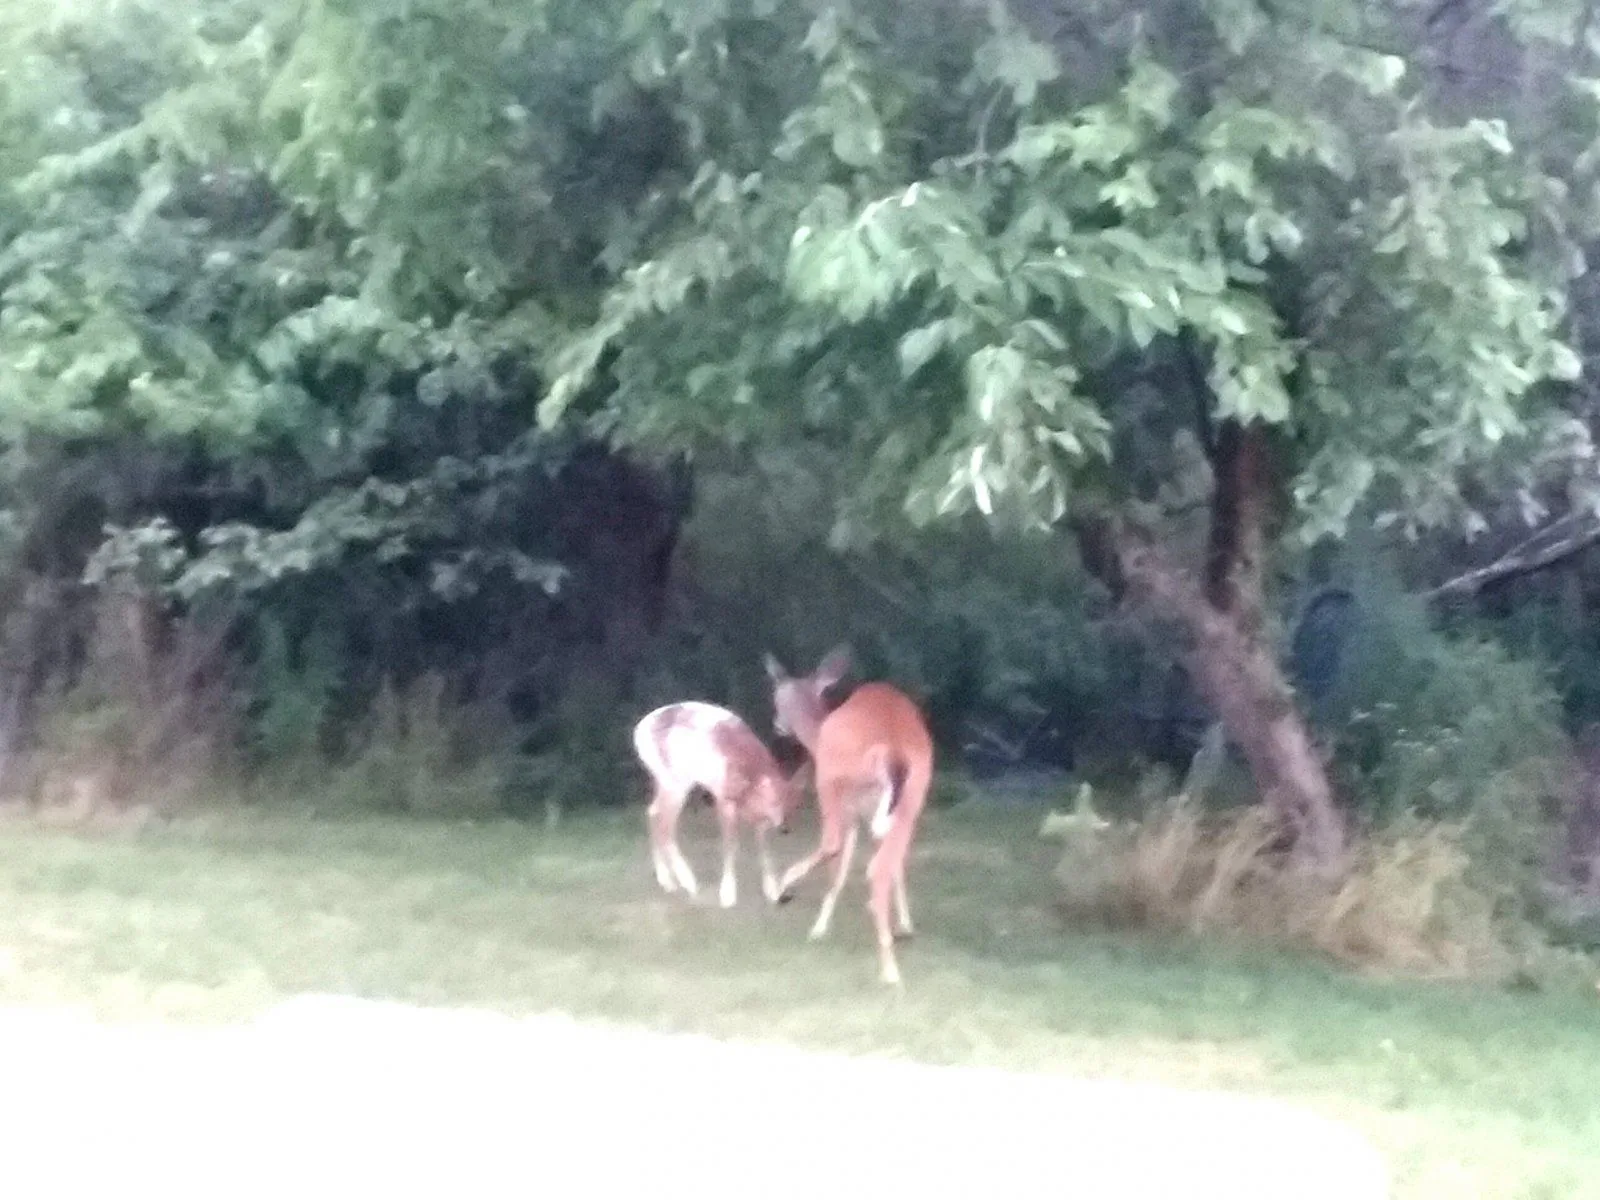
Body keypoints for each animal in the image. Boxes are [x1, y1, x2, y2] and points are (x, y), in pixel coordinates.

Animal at [632, 701, 808, 909]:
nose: (784, 828)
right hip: (676, 782)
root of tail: (639, 731)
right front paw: (727, 895)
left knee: (653, 812)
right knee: (665, 825)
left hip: (665, 781)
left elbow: (764, 848)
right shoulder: (723, 800)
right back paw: (688, 882)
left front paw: (772, 891)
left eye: (793, 805)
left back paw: (667, 881)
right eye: (775, 802)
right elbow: (731, 845)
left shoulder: (760, 819)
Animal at [764, 647, 934, 986]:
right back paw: (891, 958)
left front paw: (818, 926)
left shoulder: (850, 810)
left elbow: (839, 868)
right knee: (882, 866)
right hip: (912, 797)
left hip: (833, 783)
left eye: (777, 696)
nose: (777, 725)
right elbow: (895, 866)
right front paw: (905, 924)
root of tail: (892, 749)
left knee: (837, 848)